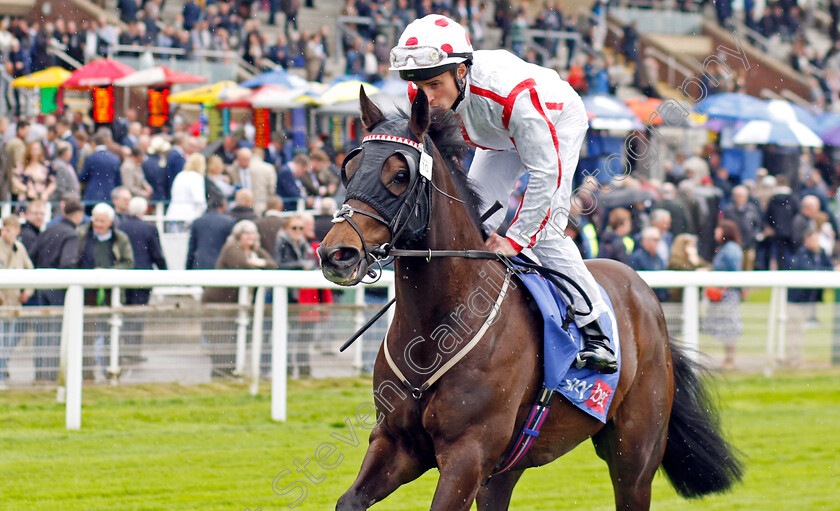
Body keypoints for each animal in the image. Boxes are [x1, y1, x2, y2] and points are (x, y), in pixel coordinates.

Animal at [318, 90, 744, 510]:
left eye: (400, 175)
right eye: (350, 170)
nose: (336, 253)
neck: (438, 329)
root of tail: (646, 294)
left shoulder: (468, 453)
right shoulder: (396, 442)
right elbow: (348, 501)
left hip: (634, 451)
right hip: (509, 467)